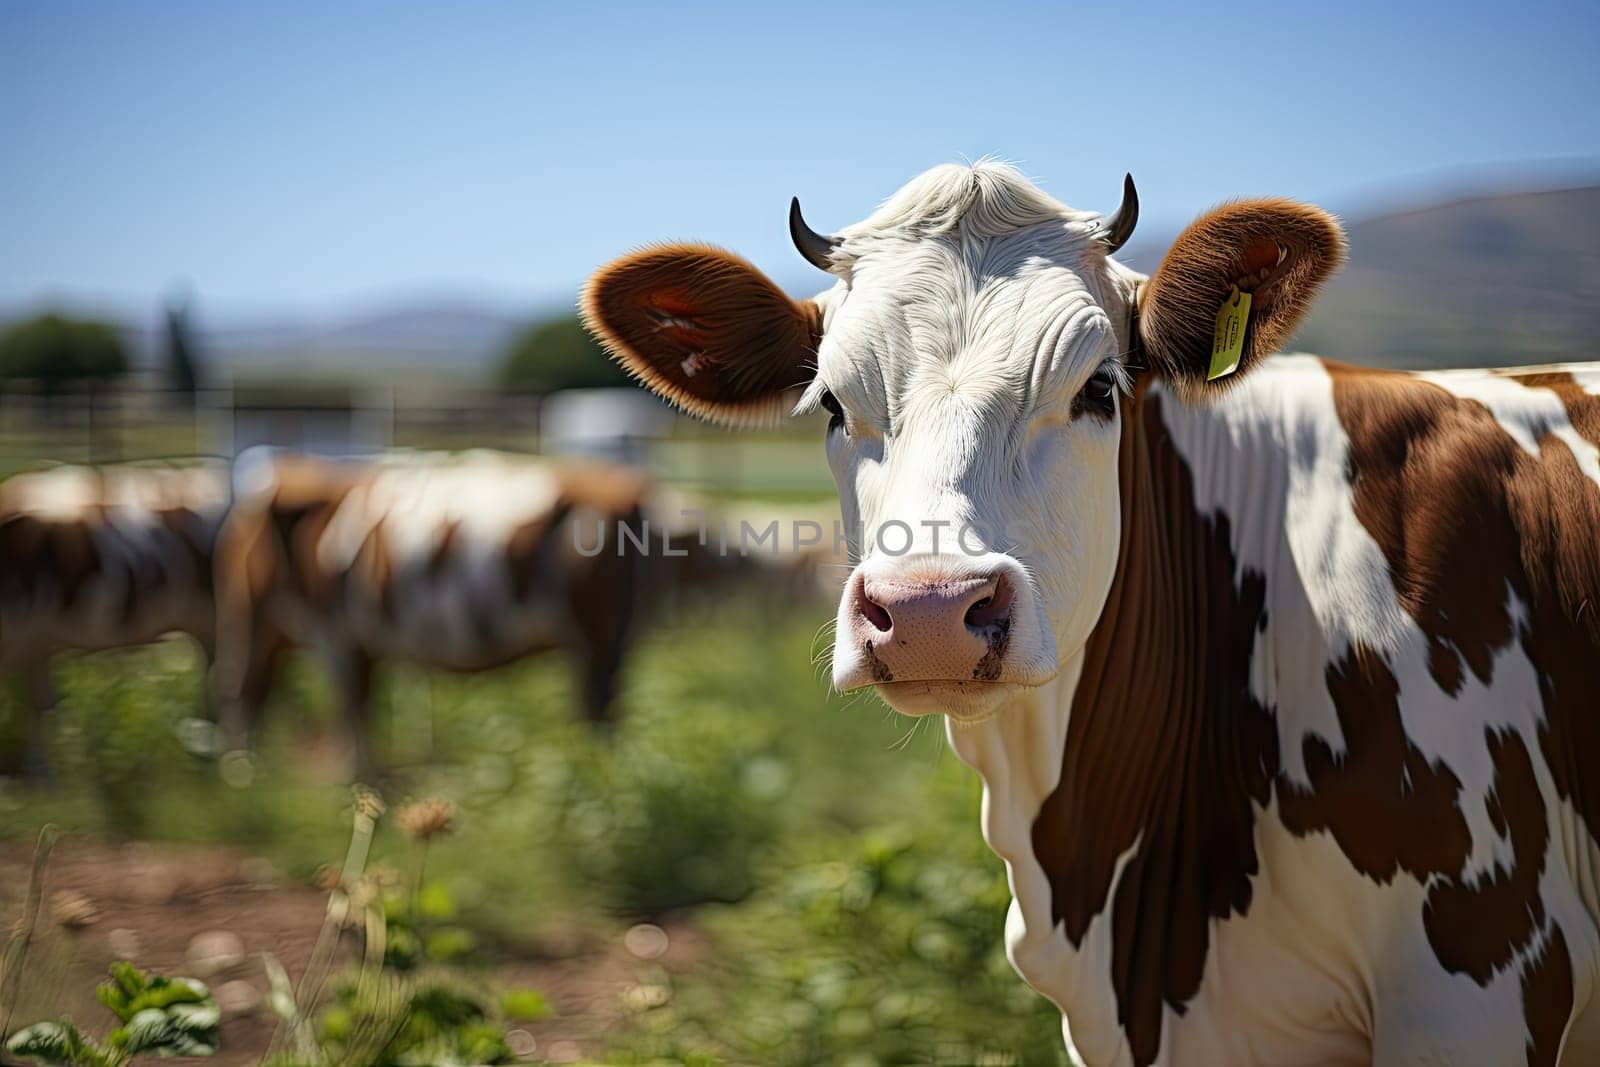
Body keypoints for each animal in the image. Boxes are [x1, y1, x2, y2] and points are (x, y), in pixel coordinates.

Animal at [212, 447, 649, 771]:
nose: (237, 772)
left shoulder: (338, 636)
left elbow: (354, 716)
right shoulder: (353, 643)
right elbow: (359, 713)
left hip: (598, 638)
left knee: (596, 713)